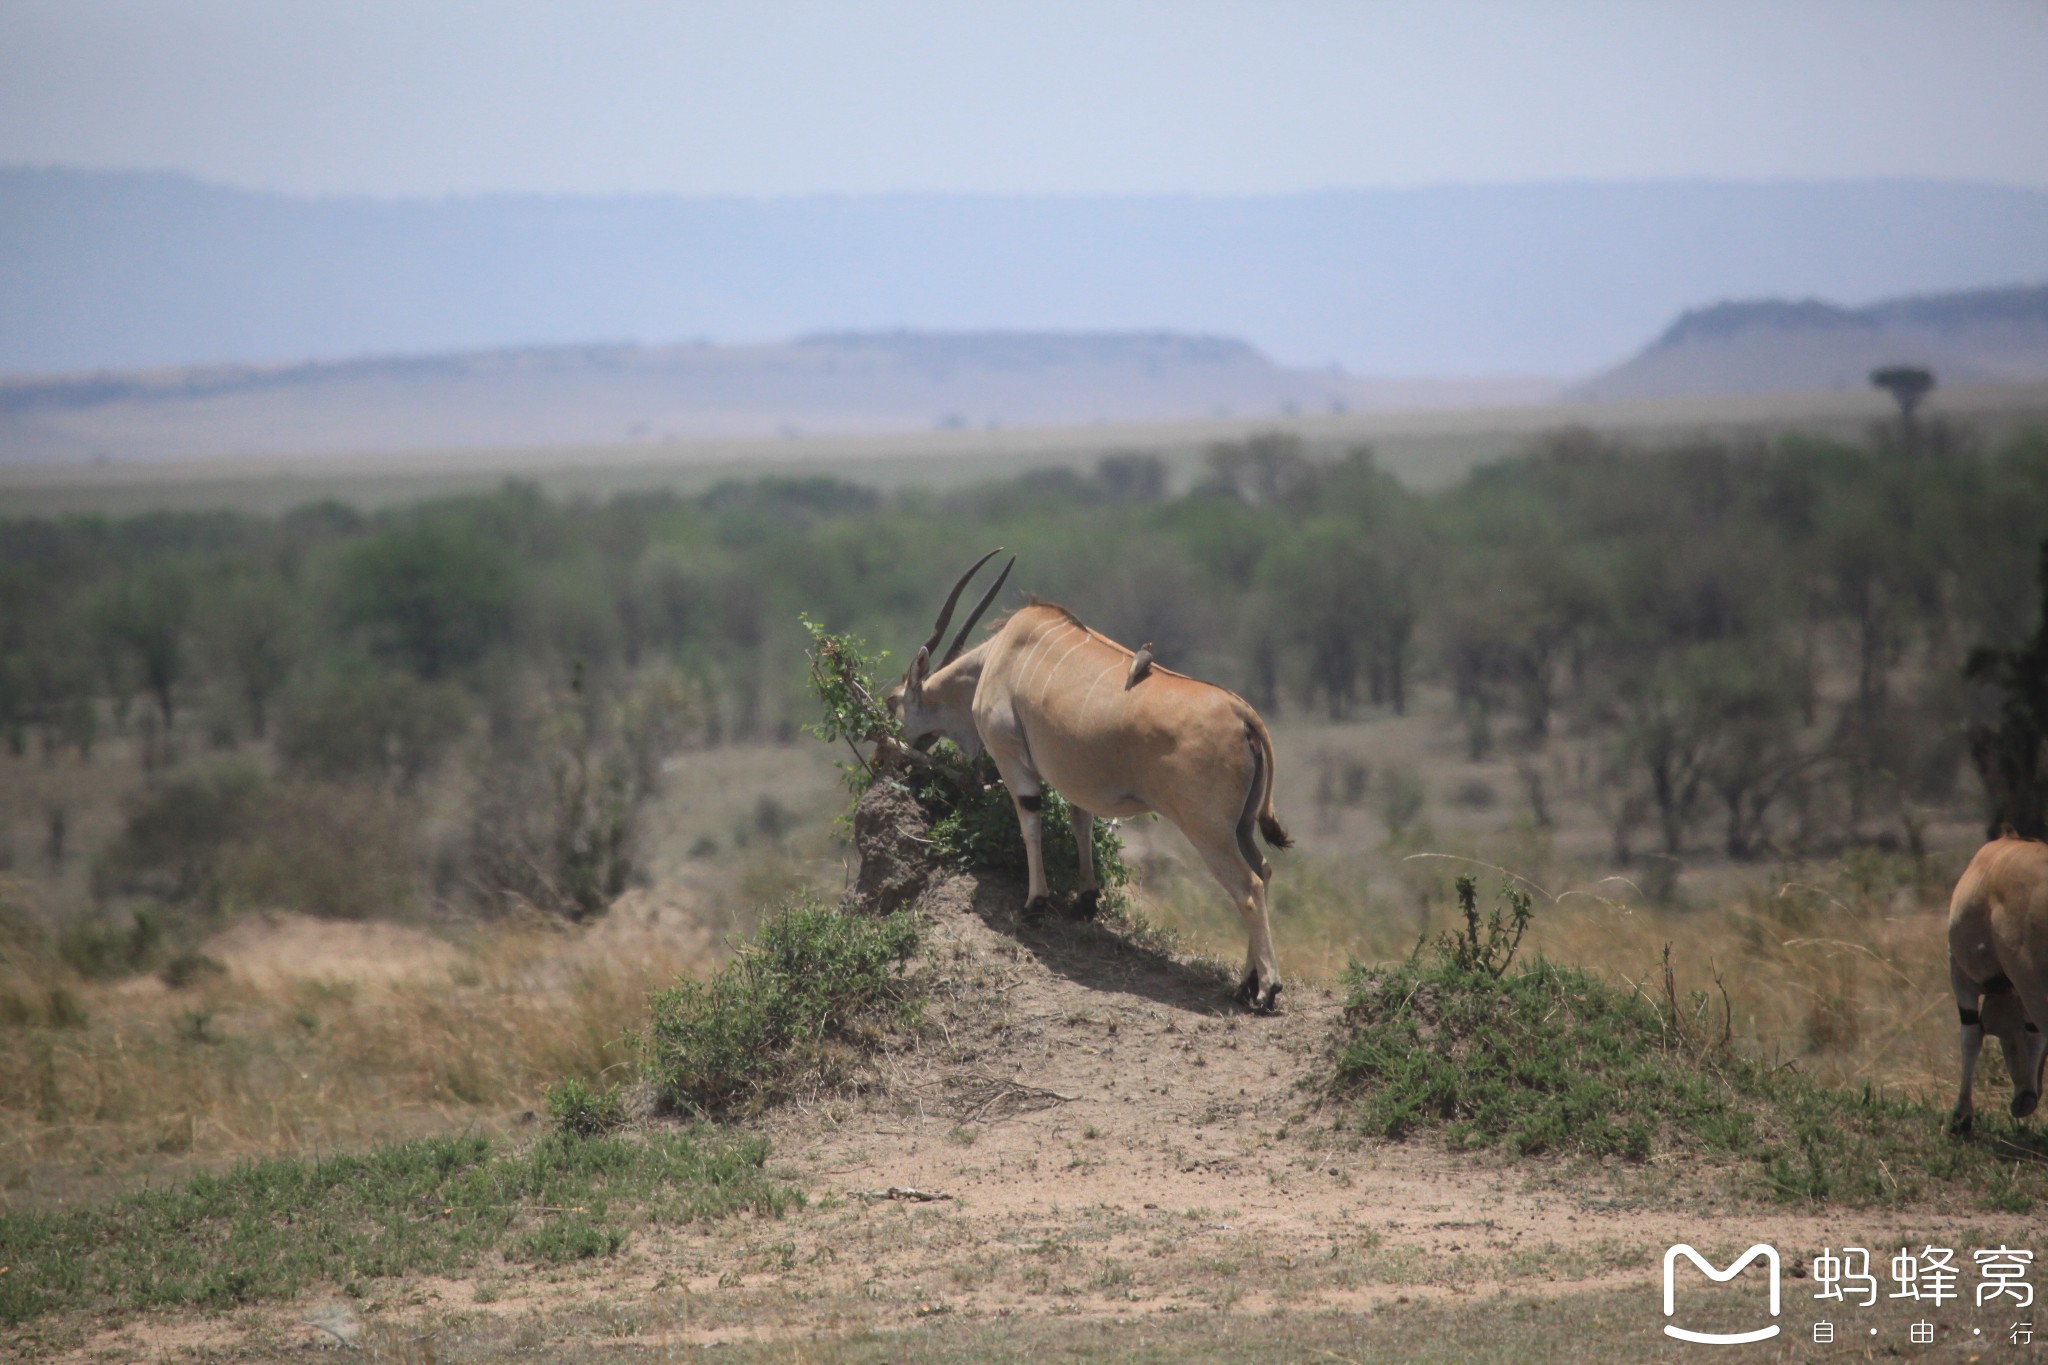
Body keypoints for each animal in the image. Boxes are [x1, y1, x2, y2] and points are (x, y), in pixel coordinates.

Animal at [884, 548, 1294, 1010]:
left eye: (893, 701)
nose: (897, 758)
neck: (998, 657)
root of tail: (1244, 715)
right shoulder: (1073, 775)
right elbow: (1081, 823)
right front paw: (1085, 900)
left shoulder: (1012, 757)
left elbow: (1030, 822)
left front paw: (1036, 903)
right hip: (1239, 828)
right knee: (1264, 871)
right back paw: (1245, 983)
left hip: (1209, 831)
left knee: (1249, 886)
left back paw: (1267, 988)